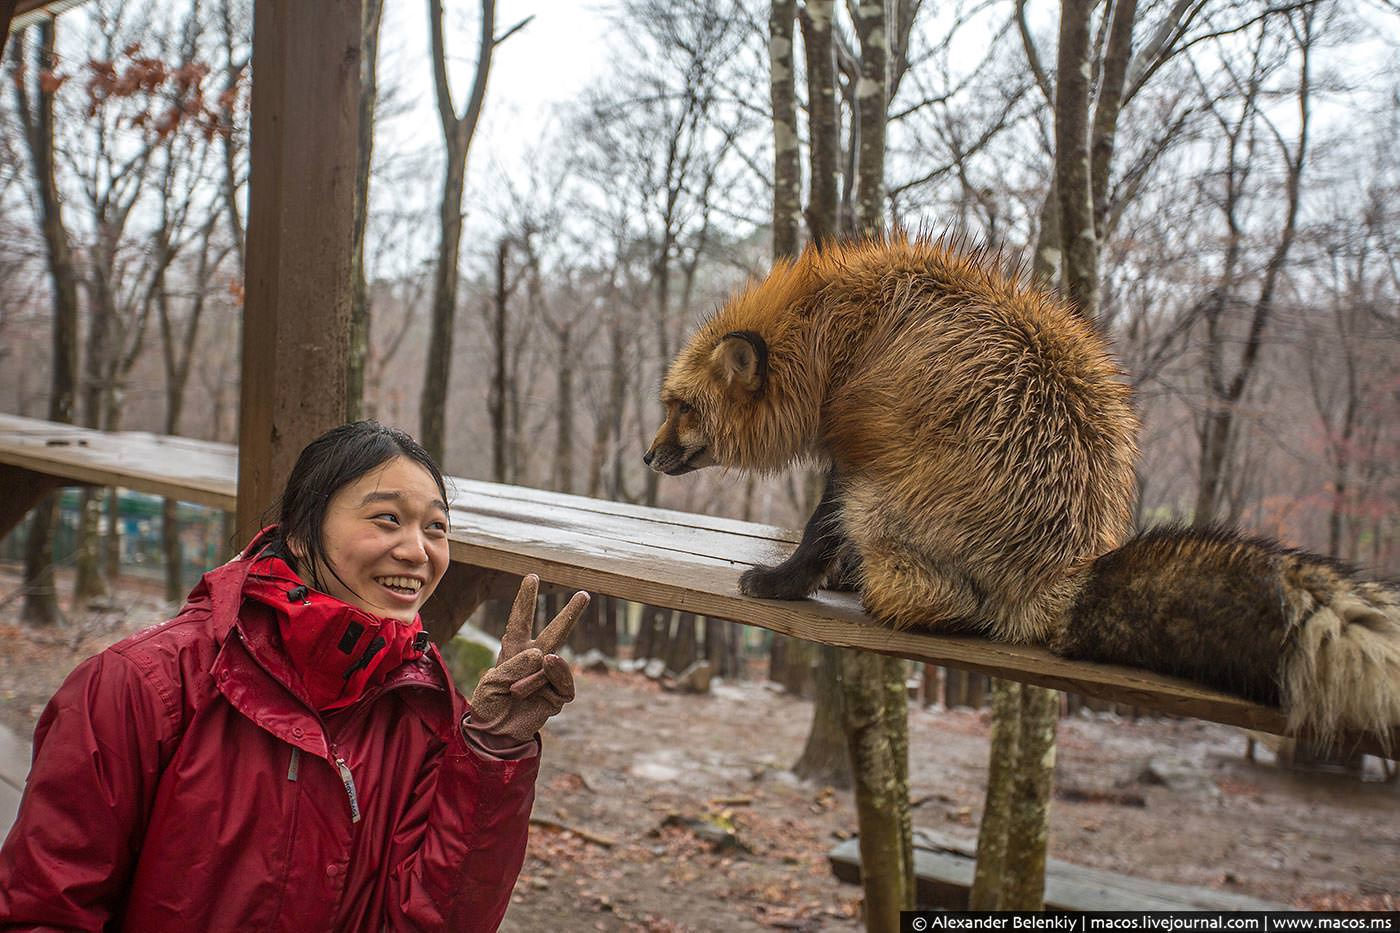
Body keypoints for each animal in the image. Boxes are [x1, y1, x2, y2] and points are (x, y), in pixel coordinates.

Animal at [644, 233, 1400, 750]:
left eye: (681, 408)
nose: (649, 456)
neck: (839, 338)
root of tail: (1067, 571)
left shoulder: (857, 452)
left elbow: (817, 533)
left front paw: (784, 583)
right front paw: (826, 576)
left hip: (881, 504)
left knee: (946, 604)